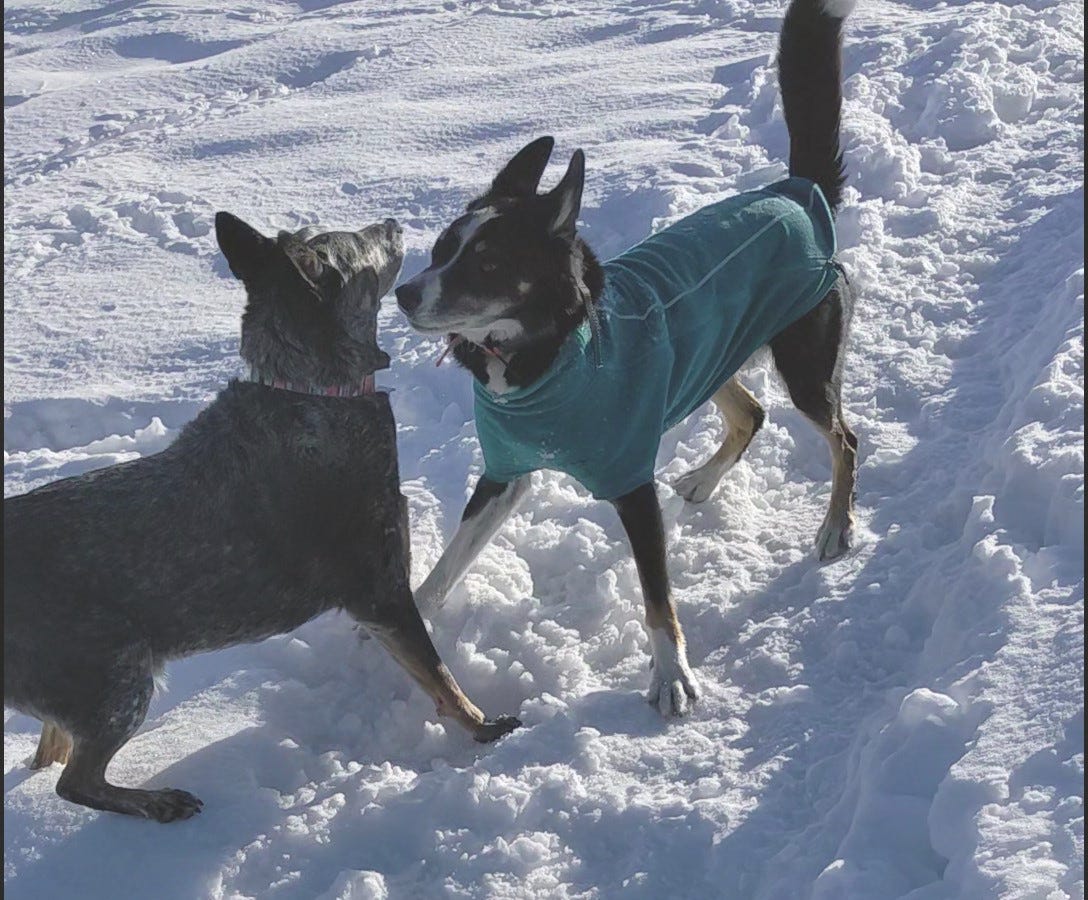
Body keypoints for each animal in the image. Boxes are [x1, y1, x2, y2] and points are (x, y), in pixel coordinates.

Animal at [4, 211, 520, 822]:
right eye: (360, 243)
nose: (394, 222)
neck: (314, 390)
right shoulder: (379, 589)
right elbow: (442, 680)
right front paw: (486, 729)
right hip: (117, 675)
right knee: (76, 780)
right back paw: (160, 802)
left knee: (52, 746)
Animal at [396, 0, 852, 718]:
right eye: (442, 249)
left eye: (488, 263)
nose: (404, 293)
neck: (541, 362)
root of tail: (799, 189)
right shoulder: (505, 472)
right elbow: (448, 561)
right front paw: (413, 624)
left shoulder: (632, 485)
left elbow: (658, 600)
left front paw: (671, 677)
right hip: (707, 354)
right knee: (751, 413)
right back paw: (704, 480)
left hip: (804, 359)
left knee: (843, 439)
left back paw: (836, 525)